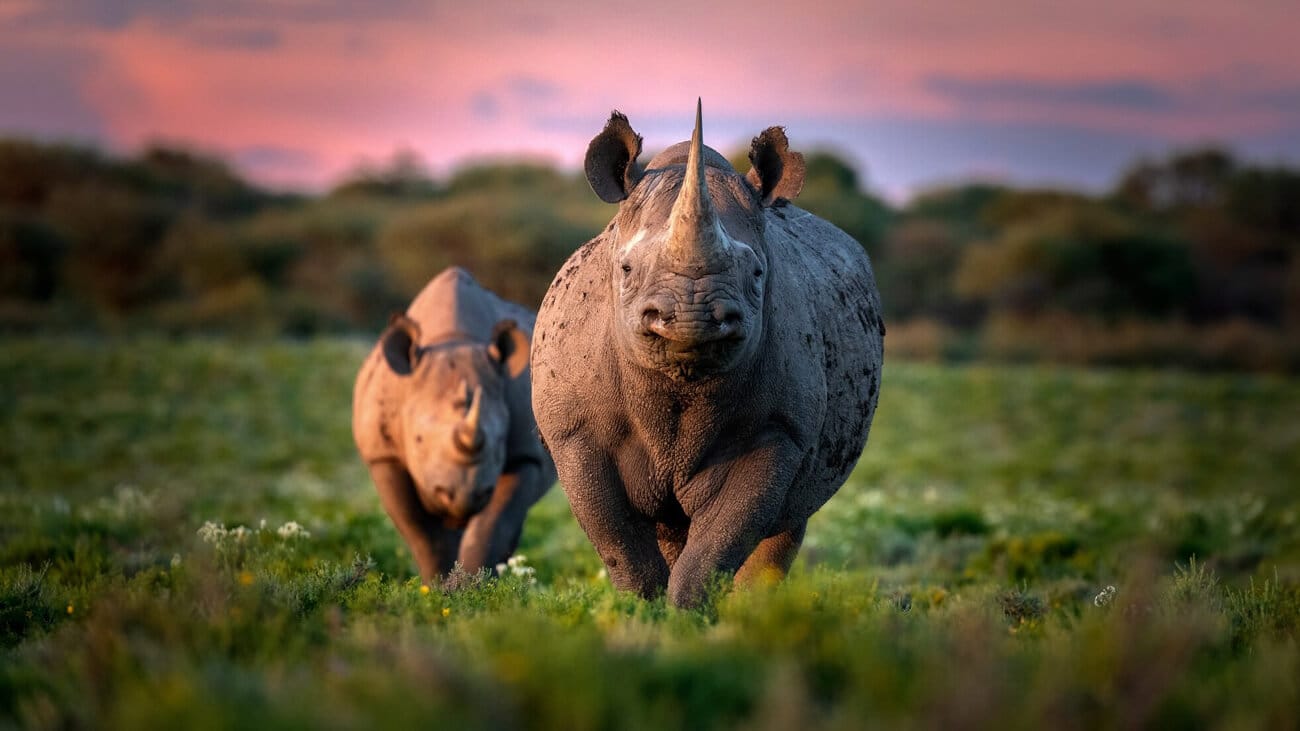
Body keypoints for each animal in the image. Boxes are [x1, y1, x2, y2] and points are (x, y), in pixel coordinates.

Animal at [353, 267, 554, 582]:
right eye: (418, 440)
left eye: (499, 443)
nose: (464, 497)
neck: (454, 338)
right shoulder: (383, 455)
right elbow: (422, 533)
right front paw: (437, 587)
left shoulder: (526, 455)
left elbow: (491, 527)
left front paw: (472, 586)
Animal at [531, 102, 884, 607]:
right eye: (626, 269)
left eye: (757, 273)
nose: (691, 317)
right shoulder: (576, 433)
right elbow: (619, 542)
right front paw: (641, 612)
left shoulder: (778, 433)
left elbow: (719, 543)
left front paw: (687, 616)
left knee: (787, 520)